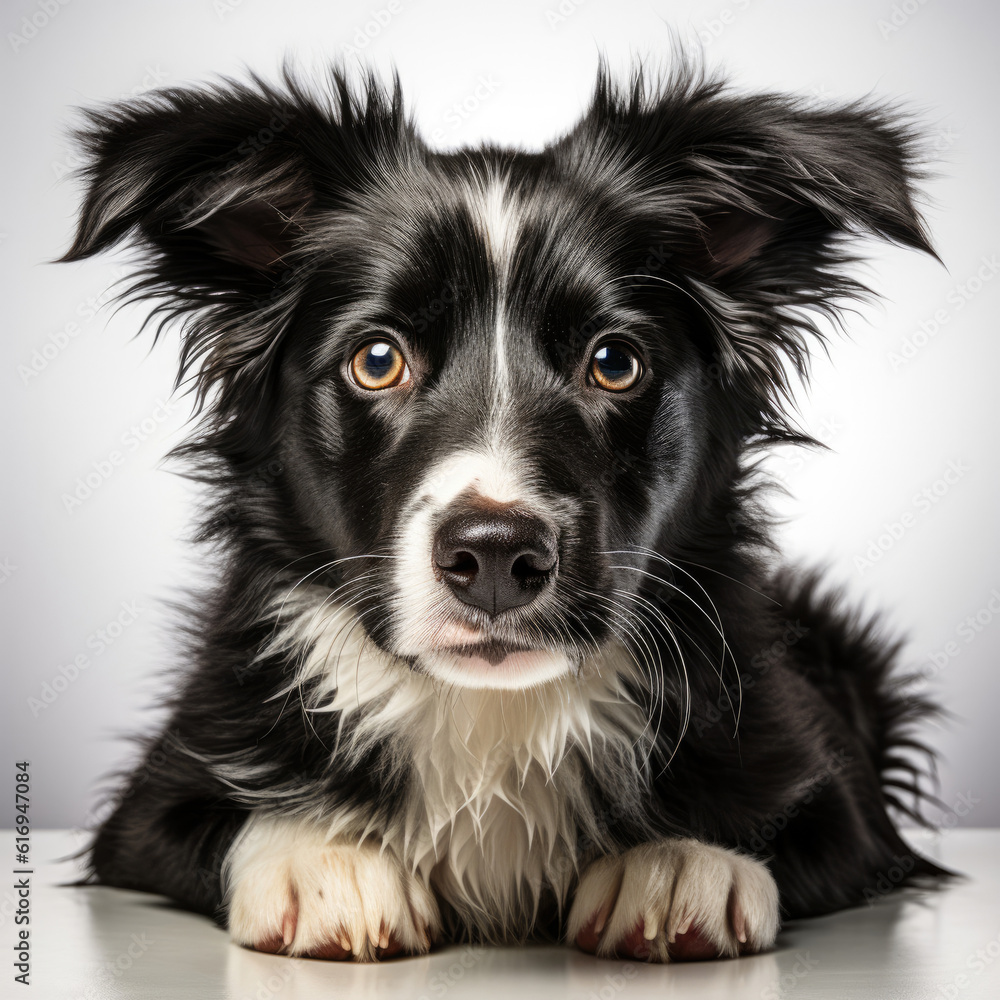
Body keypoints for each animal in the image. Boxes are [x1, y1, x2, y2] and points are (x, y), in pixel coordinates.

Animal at [58, 54, 948, 960]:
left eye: (614, 362)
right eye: (376, 359)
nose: (492, 556)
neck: (492, 711)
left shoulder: (849, 811)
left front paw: (681, 859)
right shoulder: (145, 808)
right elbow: (225, 821)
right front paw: (322, 858)